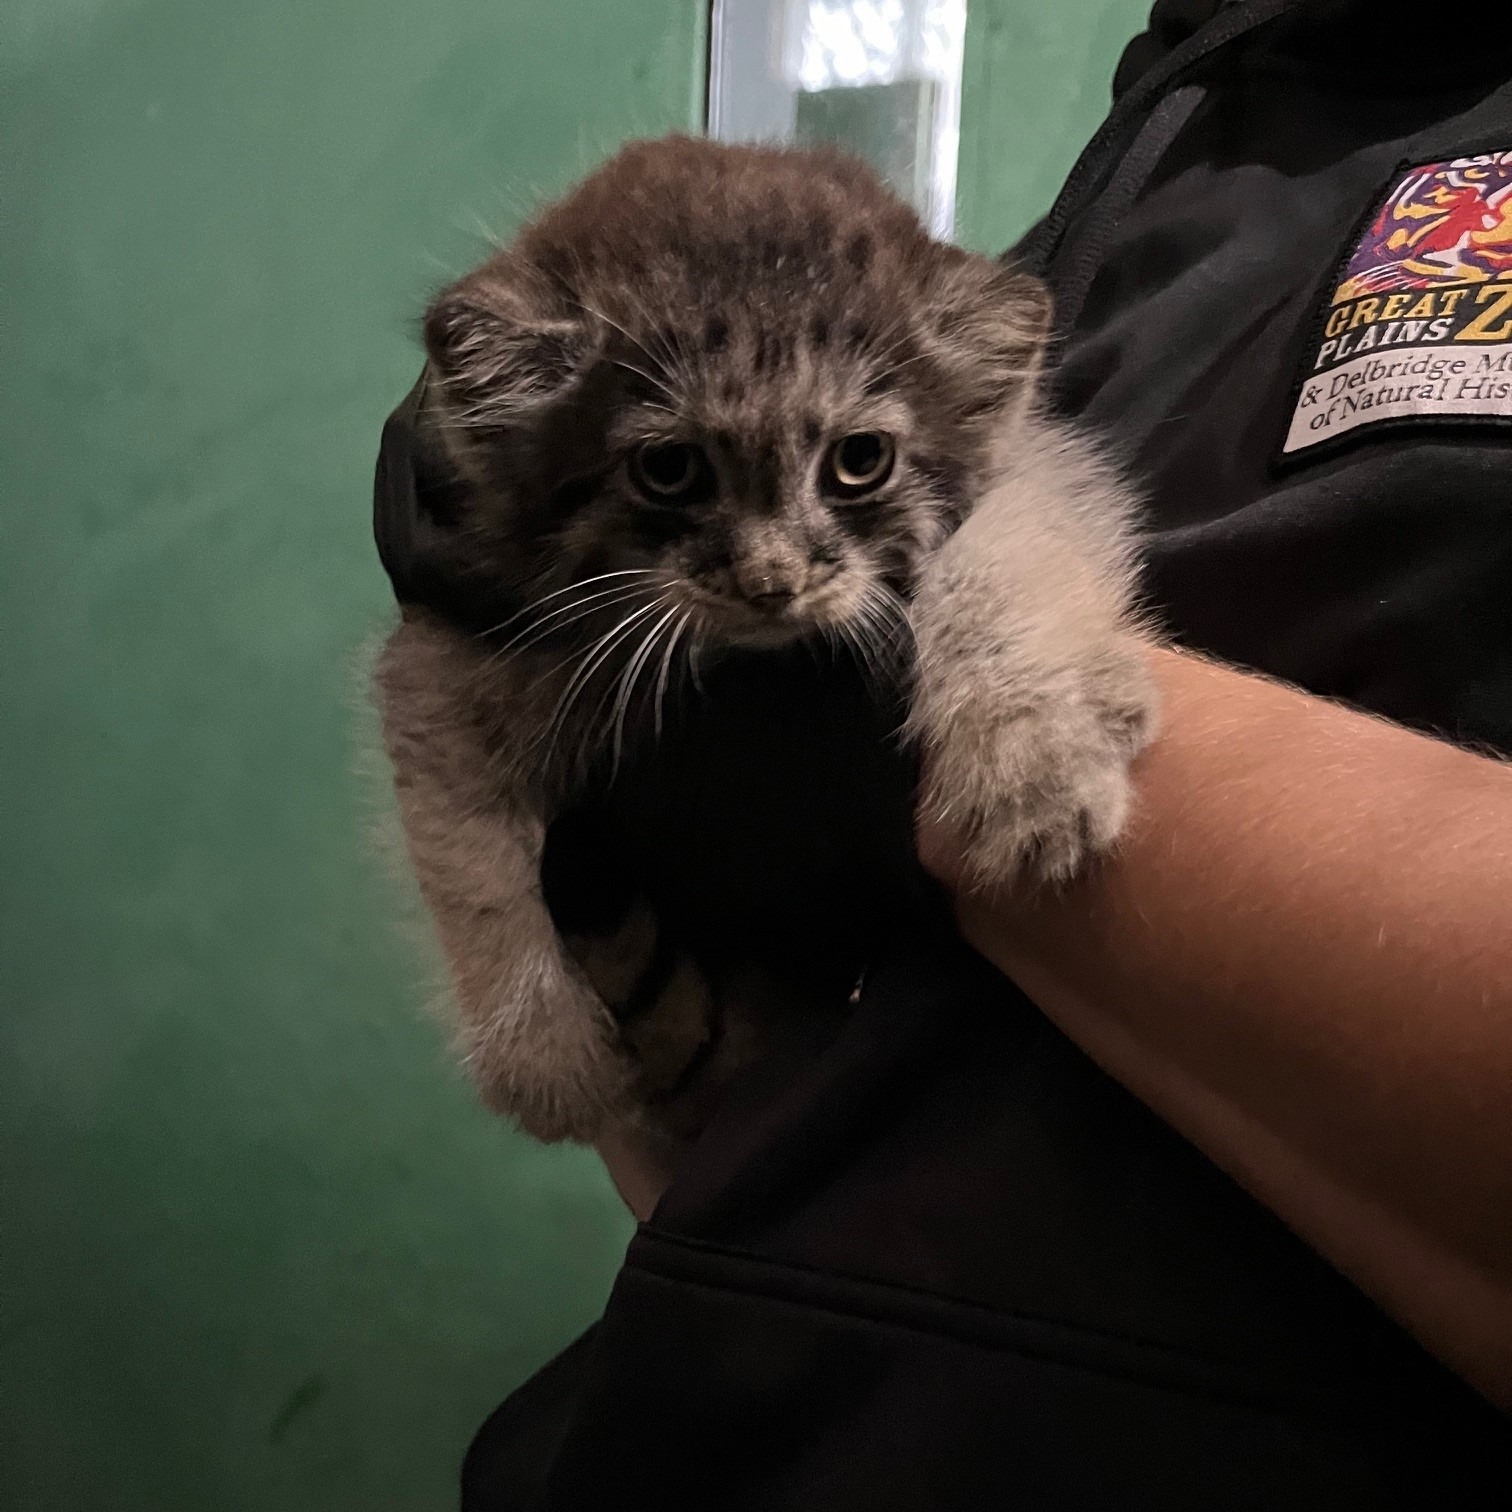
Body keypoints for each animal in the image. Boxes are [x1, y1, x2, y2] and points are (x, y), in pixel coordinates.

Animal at [378, 139, 1155, 1143]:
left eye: (860, 460)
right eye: (669, 469)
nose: (772, 582)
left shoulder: (1035, 469)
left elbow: (1000, 565)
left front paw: (1033, 760)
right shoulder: (454, 629)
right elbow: (464, 845)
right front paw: (537, 1051)